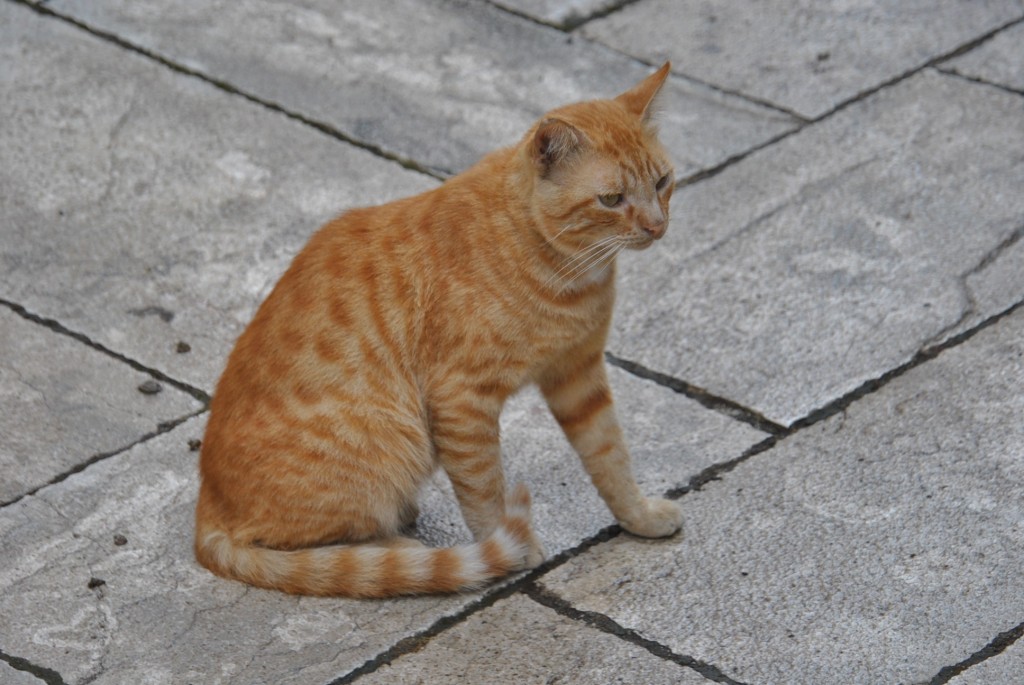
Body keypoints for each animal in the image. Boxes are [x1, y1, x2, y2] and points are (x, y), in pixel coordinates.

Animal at [195, 62, 684, 593]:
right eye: (612, 199)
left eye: (662, 181)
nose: (656, 227)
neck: (564, 265)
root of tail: (207, 506)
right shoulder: (461, 399)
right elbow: (484, 487)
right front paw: (506, 546)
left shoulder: (578, 375)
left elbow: (611, 457)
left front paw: (638, 517)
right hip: (395, 439)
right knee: (310, 547)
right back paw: (401, 552)